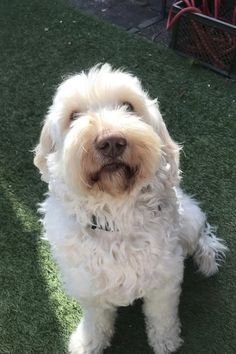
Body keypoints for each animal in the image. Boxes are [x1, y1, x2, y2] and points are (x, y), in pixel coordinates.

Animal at [34, 64, 228, 354]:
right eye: (74, 116)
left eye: (128, 106)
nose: (111, 141)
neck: (115, 216)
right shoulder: (89, 286)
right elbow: (96, 319)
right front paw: (88, 342)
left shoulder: (164, 281)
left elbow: (162, 316)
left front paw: (166, 342)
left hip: (190, 218)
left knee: (201, 237)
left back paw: (206, 259)